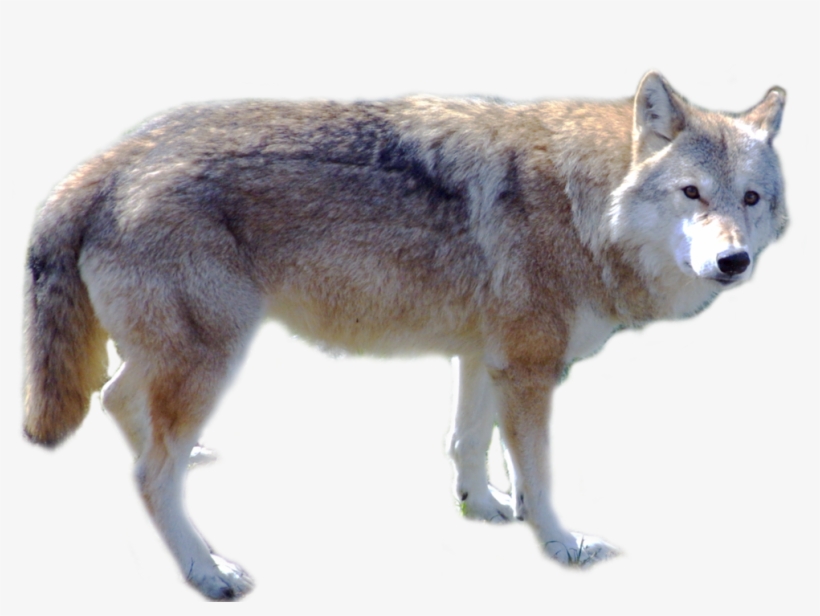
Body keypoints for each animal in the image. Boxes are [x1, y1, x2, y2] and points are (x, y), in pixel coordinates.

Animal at [23, 71, 786, 600]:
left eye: (751, 199)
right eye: (691, 193)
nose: (734, 262)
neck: (584, 206)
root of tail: (105, 163)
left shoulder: (486, 357)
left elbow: (469, 443)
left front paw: (483, 509)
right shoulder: (530, 371)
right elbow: (537, 476)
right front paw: (560, 545)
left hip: (177, 359)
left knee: (121, 404)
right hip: (214, 355)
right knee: (151, 474)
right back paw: (208, 572)